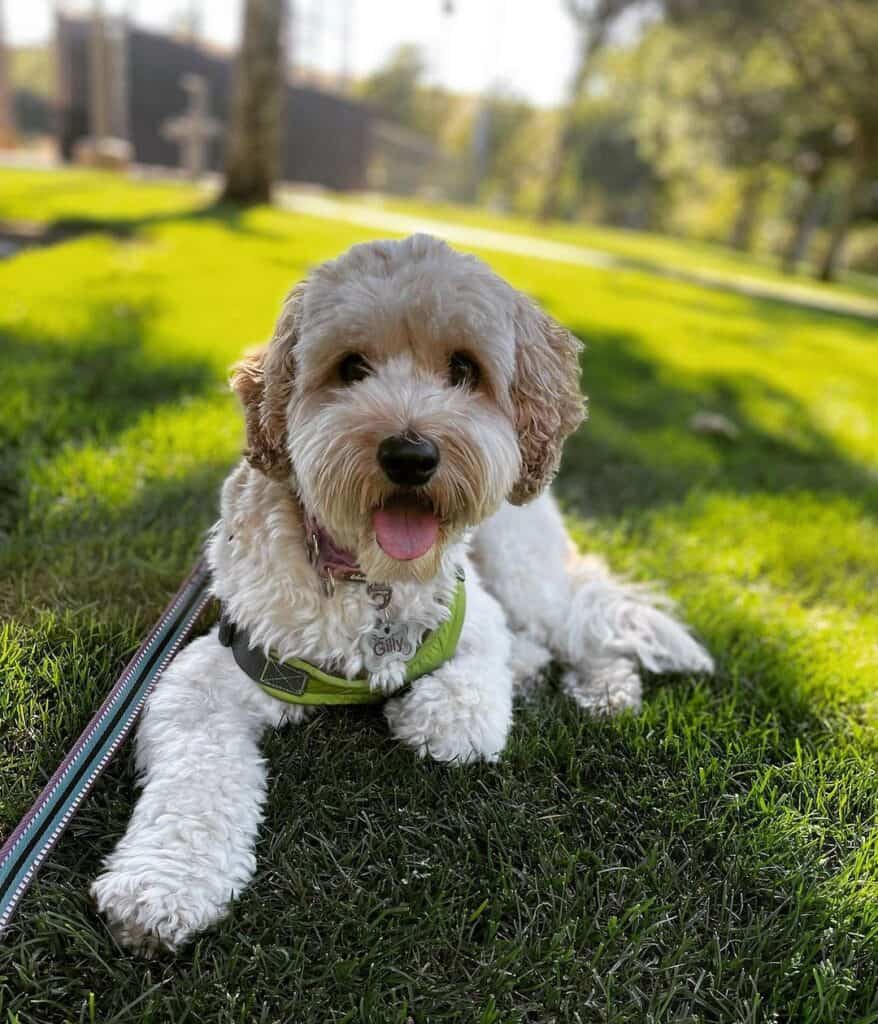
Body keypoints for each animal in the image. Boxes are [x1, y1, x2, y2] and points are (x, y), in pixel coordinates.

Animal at [90, 232, 713, 950]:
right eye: (351, 366)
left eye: (464, 369)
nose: (410, 456)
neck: (369, 576)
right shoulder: (213, 671)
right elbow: (198, 777)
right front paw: (163, 886)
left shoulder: (476, 617)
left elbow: (460, 711)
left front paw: (430, 710)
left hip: (518, 564)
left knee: (573, 623)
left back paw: (604, 687)